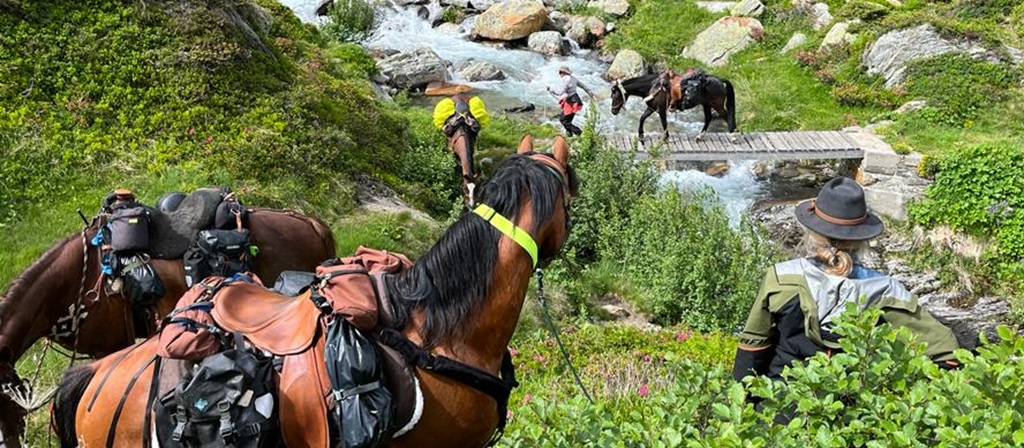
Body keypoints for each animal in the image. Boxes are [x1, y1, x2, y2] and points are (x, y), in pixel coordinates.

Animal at [610, 70, 741, 142]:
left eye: (615, 96)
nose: (613, 111)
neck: (652, 86)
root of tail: (720, 80)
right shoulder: (652, 107)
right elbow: (642, 118)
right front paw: (641, 135)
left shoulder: (661, 109)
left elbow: (663, 122)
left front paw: (665, 138)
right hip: (706, 105)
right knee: (709, 118)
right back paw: (700, 137)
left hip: (717, 105)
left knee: (726, 116)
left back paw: (734, 136)